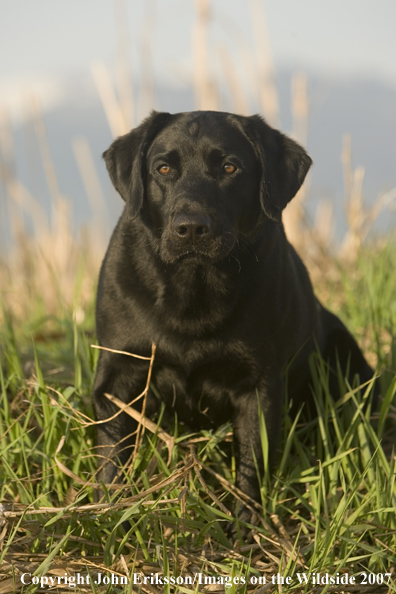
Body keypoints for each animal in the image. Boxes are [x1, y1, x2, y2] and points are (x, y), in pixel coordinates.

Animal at [93, 112, 378, 508]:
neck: (194, 290)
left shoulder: (258, 385)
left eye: (230, 167)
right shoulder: (119, 372)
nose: (191, 227)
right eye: (163, 168)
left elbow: (251, 464)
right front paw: (104, 506)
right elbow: (111, 454)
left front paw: (247, 522)